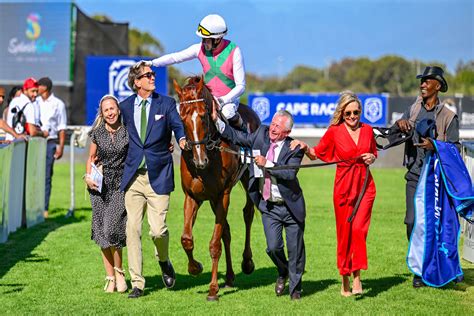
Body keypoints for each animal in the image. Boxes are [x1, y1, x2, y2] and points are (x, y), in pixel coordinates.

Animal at [174, 76, 262, 302]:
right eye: (182, 117)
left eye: (203, 116)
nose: (200, 160)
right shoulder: (193, 196)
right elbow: (186, 239)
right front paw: (195, 267)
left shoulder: (223, 195)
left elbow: (214, 244)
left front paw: (213, 289)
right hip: (213, 200)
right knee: (227, 231)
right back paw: (230, 276)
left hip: (248, 181)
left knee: (247, 213)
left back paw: (247, 262)